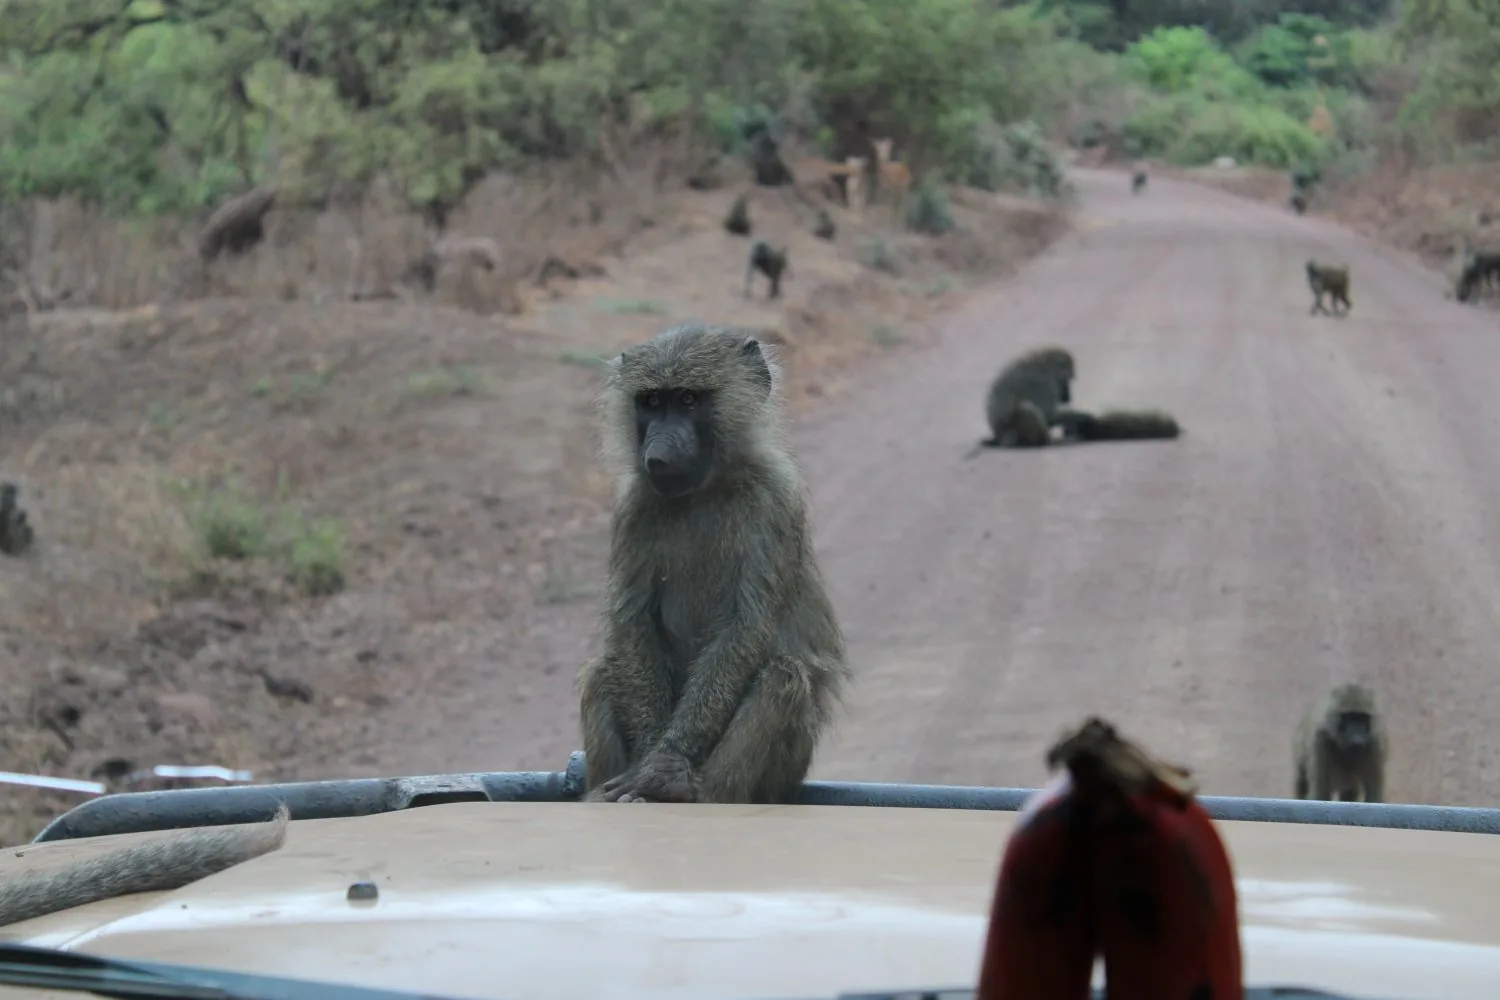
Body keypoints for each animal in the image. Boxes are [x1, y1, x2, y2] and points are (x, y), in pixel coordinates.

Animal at [577, 323, 850, 805]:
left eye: (688, 399)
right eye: (652, 402)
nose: (658, 454)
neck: (706, 488)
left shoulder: (776, 499)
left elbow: (747, 626)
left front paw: (660, 765)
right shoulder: (633, 506)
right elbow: (632, 623)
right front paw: (646, 761)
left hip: (782, 773)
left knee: (782, 676)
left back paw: (691, 788)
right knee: (604, 669)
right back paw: (600, 792)